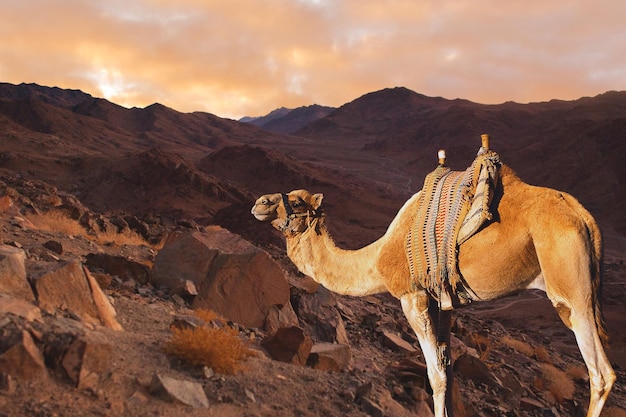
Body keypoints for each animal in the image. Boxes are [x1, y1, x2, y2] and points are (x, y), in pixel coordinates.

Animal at [250, 151, 616, 414]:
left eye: (296, 202)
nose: (260, 203)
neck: (378, 258)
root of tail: (584, 217)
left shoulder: (413, 297)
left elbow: (435, 375)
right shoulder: (444, 301)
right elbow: (449, 370)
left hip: (571, 287)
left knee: (600, 374)